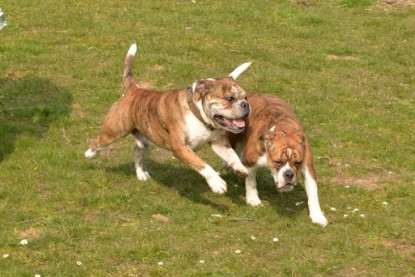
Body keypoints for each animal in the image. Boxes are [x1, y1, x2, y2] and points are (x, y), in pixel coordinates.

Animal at [85, 44, 252, 193]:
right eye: (229, 99)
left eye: (245, 97)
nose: (245, 105)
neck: (200, 117)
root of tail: (133, 90)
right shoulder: (181, 148)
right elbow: (202, 164)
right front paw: (216, 183)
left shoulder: (219, 143)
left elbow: (232, 155)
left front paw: (240, 168)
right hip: (114, 131)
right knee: (98, 142)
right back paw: (90, 154)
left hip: (148, 139)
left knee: (137, 152)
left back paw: (141, 174)